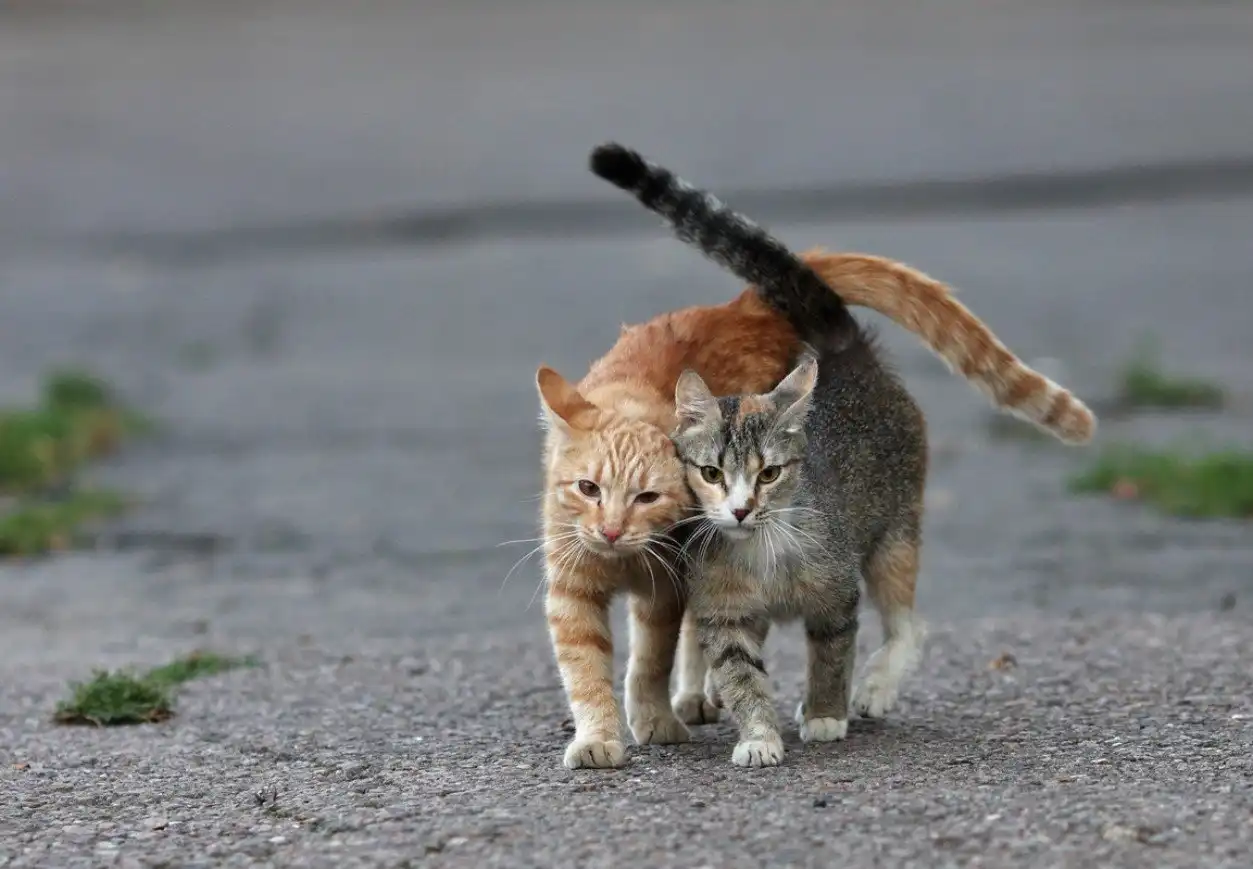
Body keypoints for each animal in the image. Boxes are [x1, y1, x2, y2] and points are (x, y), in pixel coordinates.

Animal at [535, 142, 1094, 770]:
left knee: (907, 623)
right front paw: (612, 736)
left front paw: (821, 714)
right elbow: (609, 664)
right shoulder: (602, 584)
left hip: (894, 535)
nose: (608, 532)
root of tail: (844, 347)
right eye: (586, 489)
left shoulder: (809, 593)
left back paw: (868, 688)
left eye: (648, 496)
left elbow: (811, 654)